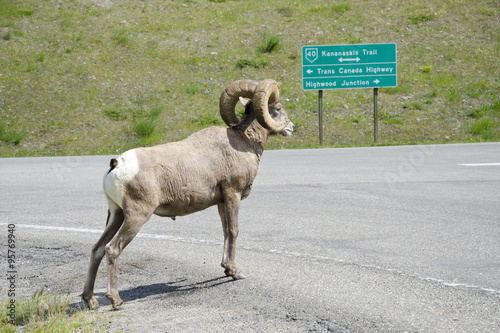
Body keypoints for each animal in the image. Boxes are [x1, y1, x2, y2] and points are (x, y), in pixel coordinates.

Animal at [81, 79, 292, 308]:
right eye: (277, 108)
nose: (290, 127)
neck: (242, 142)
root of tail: (116, 164)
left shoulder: (222, 201)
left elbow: (226, 231)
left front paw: (227, 269)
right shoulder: (233, 194)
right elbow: (234, 231)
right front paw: (236, 272)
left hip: (116, 214)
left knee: (97, 249)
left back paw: (90, 300)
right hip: (136, 217)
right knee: (112, 249)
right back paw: (115, 300)